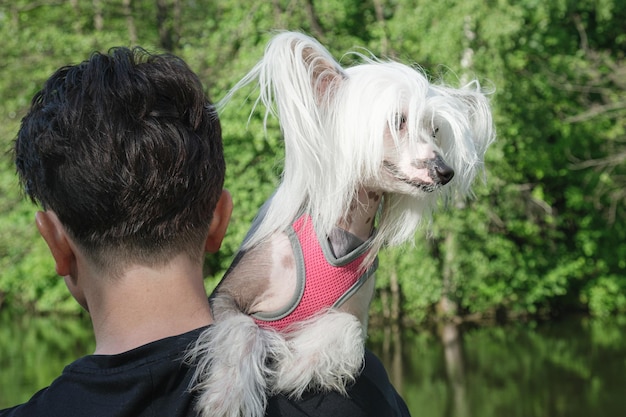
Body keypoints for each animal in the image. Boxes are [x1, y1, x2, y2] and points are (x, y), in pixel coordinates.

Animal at [185, 31, 492, 416]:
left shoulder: (357, 313)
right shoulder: (224, 297)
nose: (445, 171)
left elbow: (347, 327)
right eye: (398, 121)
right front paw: (229, 395)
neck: (343, 231)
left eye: (434, 129)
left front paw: (297, 366)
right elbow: (243, 327)